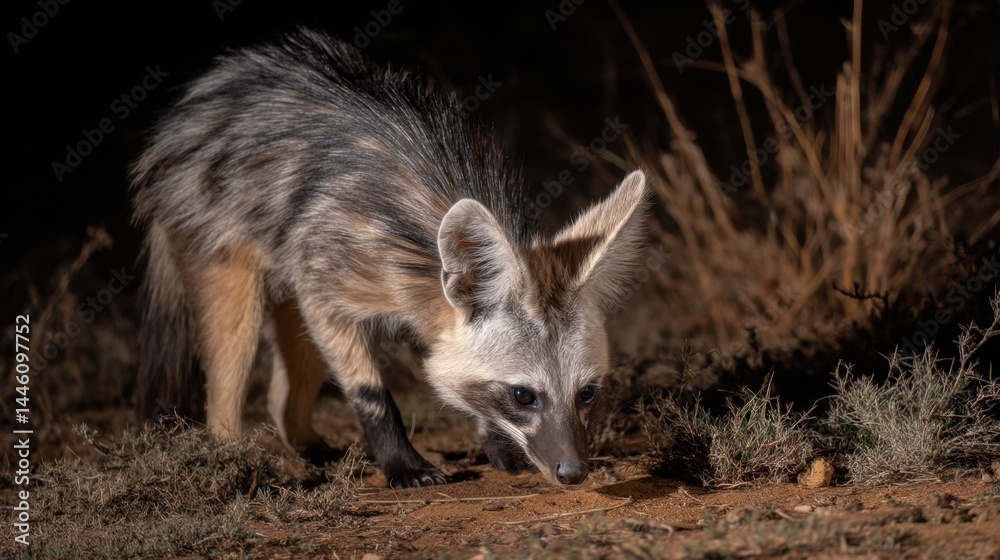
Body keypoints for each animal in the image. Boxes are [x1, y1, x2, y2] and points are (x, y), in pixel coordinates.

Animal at [130, 28, 649, 488]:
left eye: (587, 394)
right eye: (524, 396)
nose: (574, 474)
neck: (419, 246)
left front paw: (494, 442)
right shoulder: (328, 291)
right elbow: (372, 396)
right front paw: (403, 464)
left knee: (282, 399)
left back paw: (308, 447)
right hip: (237, 291)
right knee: (223, 401)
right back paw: (241, 463)